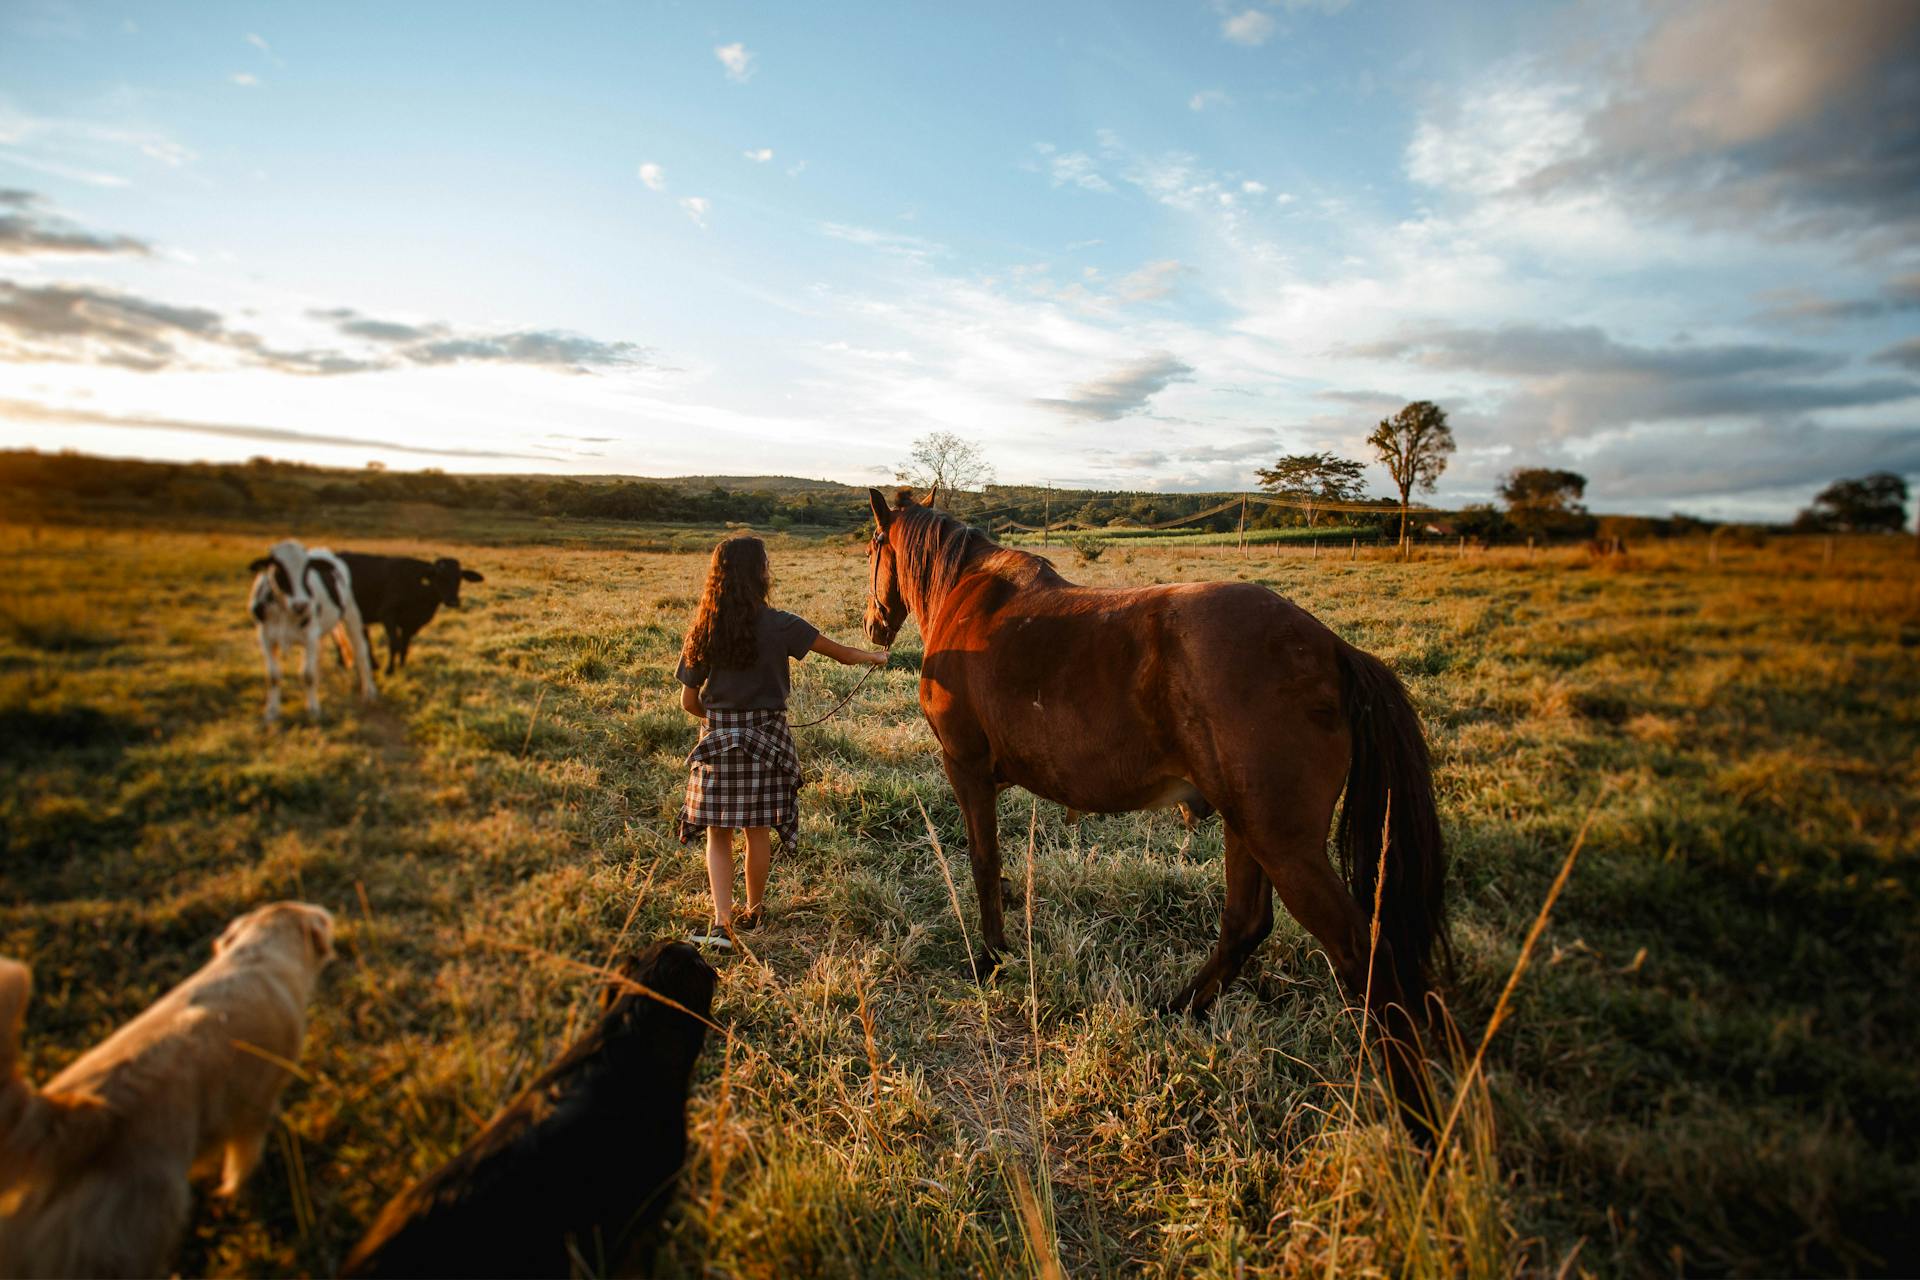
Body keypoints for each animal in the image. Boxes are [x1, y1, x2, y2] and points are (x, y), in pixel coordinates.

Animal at [0, 901, 334, 1280]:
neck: (256, 955)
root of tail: (74, 1114)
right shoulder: (254, 1107)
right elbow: (243, 1159)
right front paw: (235, 1190)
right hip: (143, 1229)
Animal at [247, 537, 378, 721]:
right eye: (279, 570)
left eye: (307, 570)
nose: (301, 605)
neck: (285, 610)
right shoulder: (265, 637)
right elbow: (273, 676)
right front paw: (271, 711)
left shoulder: (309, 636)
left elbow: (307, 675)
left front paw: (313, 709)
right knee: (319, 657)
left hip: (352, 615)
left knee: (361, 653)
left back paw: (369, 692)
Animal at [332, 552, 480, 675]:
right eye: (439, 577)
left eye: (459, 578)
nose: (453, 601)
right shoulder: (387, 615)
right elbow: (395, 644)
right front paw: (390, 670)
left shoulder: (410, 624)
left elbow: (404, 646)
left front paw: (402, 668)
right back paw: (344, 662)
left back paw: (367, 664)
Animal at [864, 491, 1443, 1105]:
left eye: (872, 547)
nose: (872, 624)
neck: (969, 599)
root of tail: (1333, 649)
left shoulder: (967, 770)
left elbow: (982, 861)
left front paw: (992, 956)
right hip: (1247, 829)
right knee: (1245, 925)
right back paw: (1180, 1008)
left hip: (1283, 846)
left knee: (1362, 954)